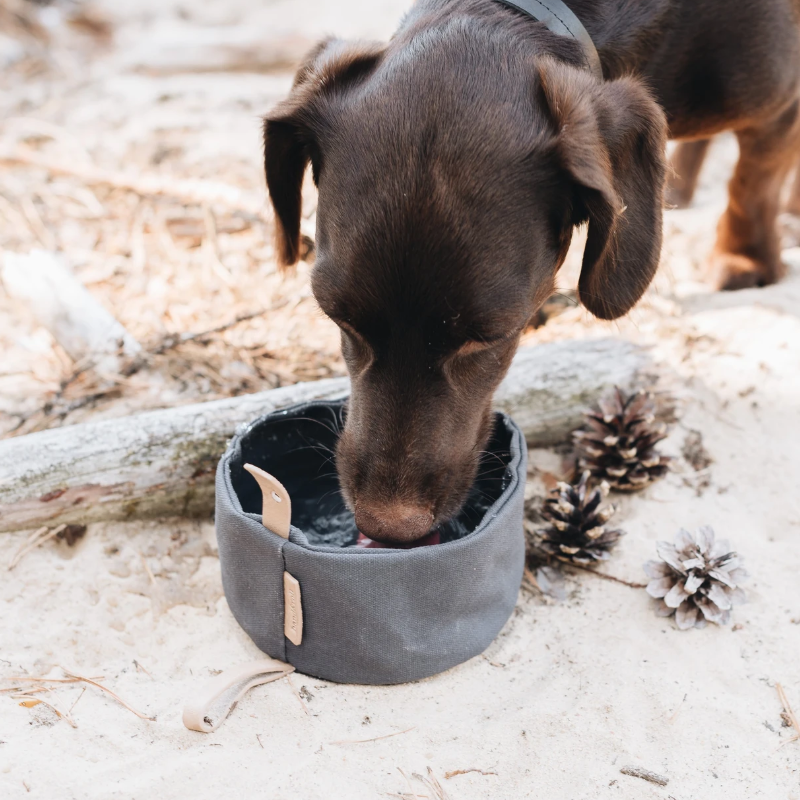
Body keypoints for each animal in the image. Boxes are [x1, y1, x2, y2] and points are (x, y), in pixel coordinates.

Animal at [264, 0, 800, 544]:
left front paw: (746, 259)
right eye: (338, 319)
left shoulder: (780, 104)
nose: (388, 528)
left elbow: (753, 182)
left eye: (488, 337)